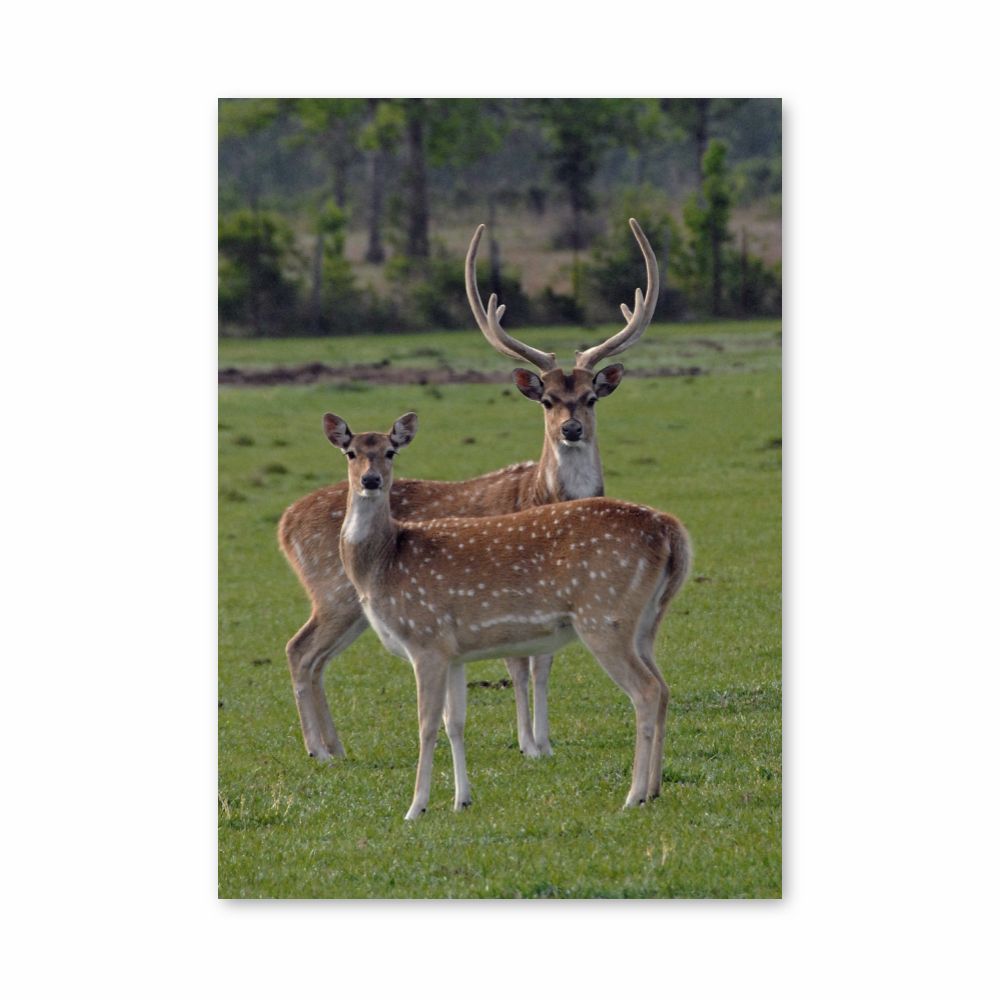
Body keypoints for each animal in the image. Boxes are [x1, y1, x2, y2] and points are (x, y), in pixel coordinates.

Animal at [278, 218, 659, 762]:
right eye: (546, 399)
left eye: (590, 397)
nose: (571, 429)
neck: (541, 495)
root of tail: (285, 524)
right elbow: (521, 664)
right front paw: (529, 744)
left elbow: (543, 661)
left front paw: (544, 741)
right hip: (333, 592)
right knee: (299, 649)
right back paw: (321, 750)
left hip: (352, 605)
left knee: (314, 656)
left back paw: (335, 747)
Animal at [324, 410, 691, 818]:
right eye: (351, 452)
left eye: (391, 451)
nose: (370, 480)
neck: (383, 564)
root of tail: (671, 529)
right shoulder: (453, 653)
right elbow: (455, 723)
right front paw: (461, 800)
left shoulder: (425, 638)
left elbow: (426, 724)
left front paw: (416, 807)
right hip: (644, 622)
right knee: (664, 687)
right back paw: (655, 789)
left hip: (604, 615)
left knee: (646, 690)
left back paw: (634, 795)